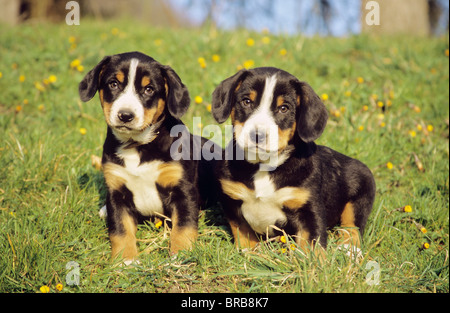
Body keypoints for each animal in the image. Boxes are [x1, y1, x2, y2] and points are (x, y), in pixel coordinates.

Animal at [79, 52, 202, 262]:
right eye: (113, 84)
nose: (125, 115)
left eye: (149, 89)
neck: (136, 144)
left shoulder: (184, 189)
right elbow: (120, 229)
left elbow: (184, 225)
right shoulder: (116, 190)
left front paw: (181, 254)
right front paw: (125, 260)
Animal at [211, 67, 376, 252]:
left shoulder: (308, 208)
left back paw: (349, 251)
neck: (263, 165)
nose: (257, 135)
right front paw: (251, 253)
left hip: (362, 191)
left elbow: (313, 243)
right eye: (246, 101)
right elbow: (244, 233)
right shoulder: (231, 200)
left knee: (352, 226)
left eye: (284, 108)